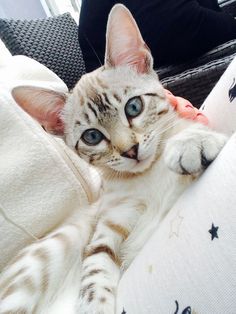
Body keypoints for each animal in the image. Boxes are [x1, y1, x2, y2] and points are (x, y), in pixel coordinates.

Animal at [0, 3, 227, 314]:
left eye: (134, 107)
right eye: (92, 136)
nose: (130, 150)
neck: (147, 176)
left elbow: (187, 131)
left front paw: (190, 140)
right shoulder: (103, 233)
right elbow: (94, 271)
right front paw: (95, 306)